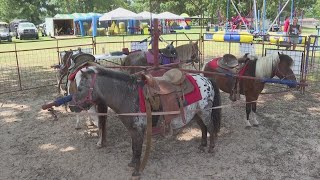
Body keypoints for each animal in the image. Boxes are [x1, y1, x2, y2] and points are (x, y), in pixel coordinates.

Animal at [69, 65, 221, 177]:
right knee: (203, 128)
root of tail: (206, 79)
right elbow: (133, 149)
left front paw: (136, 171)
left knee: (210, 127)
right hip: (195, 114)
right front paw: (132, 163)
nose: (71, 106)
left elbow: (137, 151)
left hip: (205, 112)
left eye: (80, 88)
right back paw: (202, 145)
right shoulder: (133, 131)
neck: (128, 95)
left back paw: (211, 148)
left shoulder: (138, 131)